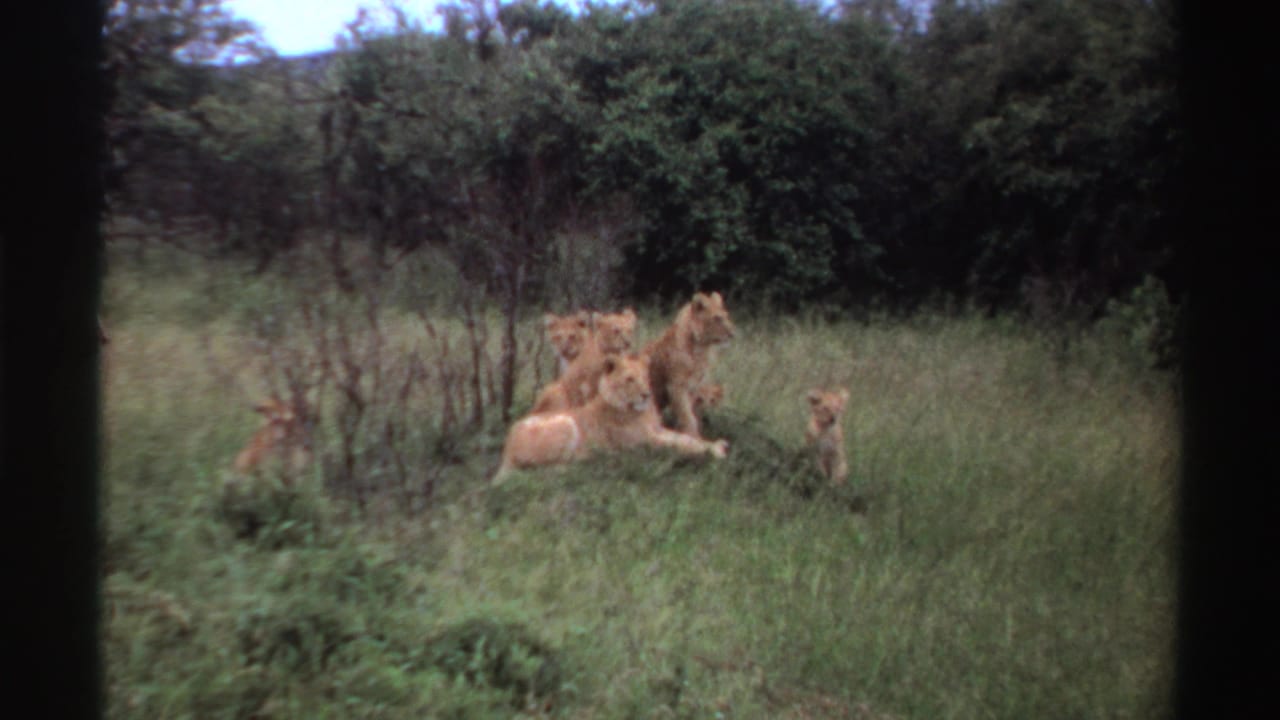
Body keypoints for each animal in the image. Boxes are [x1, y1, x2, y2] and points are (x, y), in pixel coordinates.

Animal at [494, 353, 729, 483]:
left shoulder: (658, 430)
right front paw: (714, 452)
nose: (646, 394)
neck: (641, 411)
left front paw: (716, 444)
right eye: (629, 379)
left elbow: (686, 438)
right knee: (546, 468)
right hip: (566, 423)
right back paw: (590, 461)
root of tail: (506, 450)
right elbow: (680, 445)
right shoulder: (644, 442)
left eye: (644, 377)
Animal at [642, 291, 735, 438]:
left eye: (726, 316)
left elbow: (691, 414)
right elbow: (688, 416)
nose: (732, 334)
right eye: (717, 319)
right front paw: (693, 436)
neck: (702, 349)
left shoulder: (693, 387)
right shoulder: (676, 386)